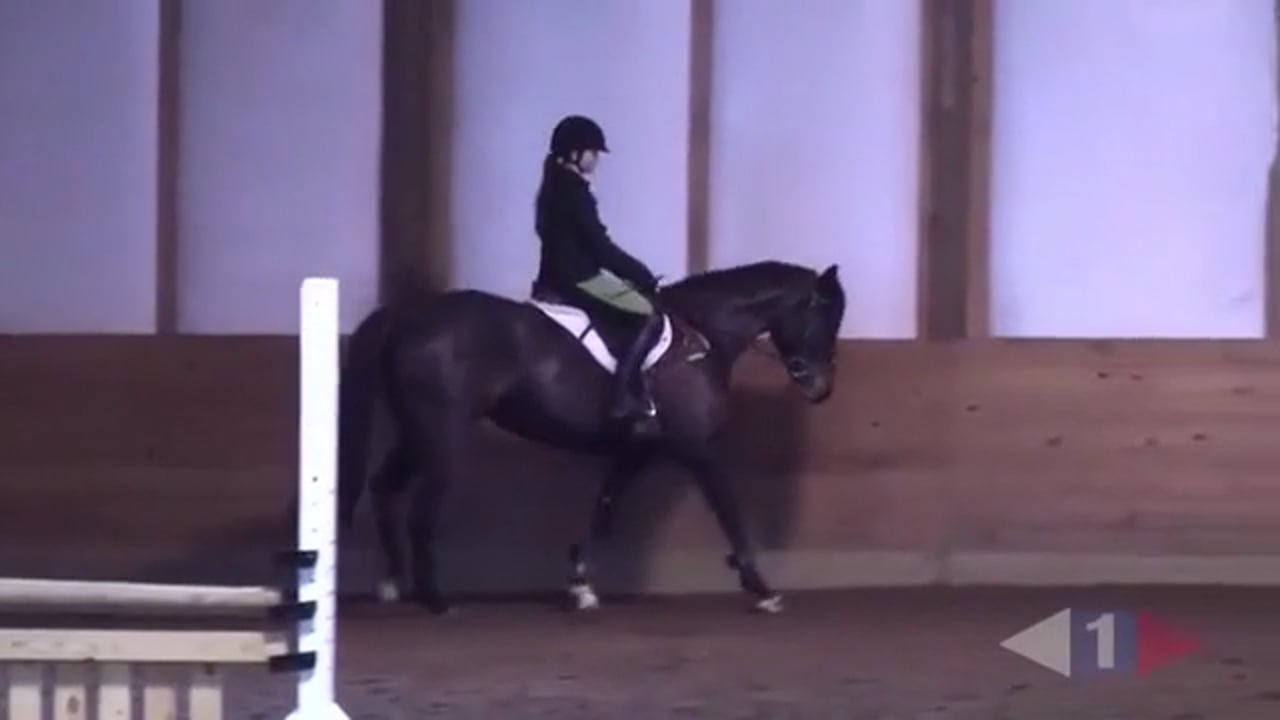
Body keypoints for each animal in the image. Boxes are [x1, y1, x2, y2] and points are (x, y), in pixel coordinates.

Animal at [336, 259, 847, 615]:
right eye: (824, 317)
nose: (820, 389)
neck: (703, 339)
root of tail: (408, 314)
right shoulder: (695, 447)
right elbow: (729, 508)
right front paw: (761, 588)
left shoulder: (638, 449)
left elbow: (604, 508)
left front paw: (581, 585)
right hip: (443, 431)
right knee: (421, 509)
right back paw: (436, 600)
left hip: (416, 430)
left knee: (384, 488)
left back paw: (391, 582)